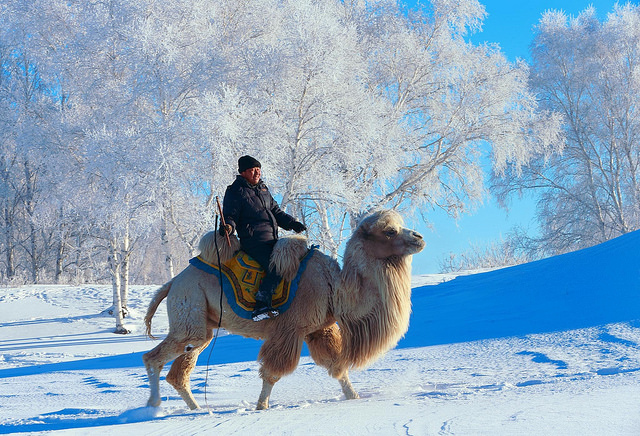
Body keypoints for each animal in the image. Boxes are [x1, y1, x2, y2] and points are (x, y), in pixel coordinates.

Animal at [143, 209, 428, 410]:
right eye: (390, 231)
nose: (419, 238)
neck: (333, 287)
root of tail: (173, 282)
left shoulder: (319, 331)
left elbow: (337, 367)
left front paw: (355, 397)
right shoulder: (290, 329)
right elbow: (272, 373)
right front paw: (261, 406)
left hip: (203, 327)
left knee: (179, 372)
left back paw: (200, 410)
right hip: (189, 311)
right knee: (153, 357)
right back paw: (154, 406)